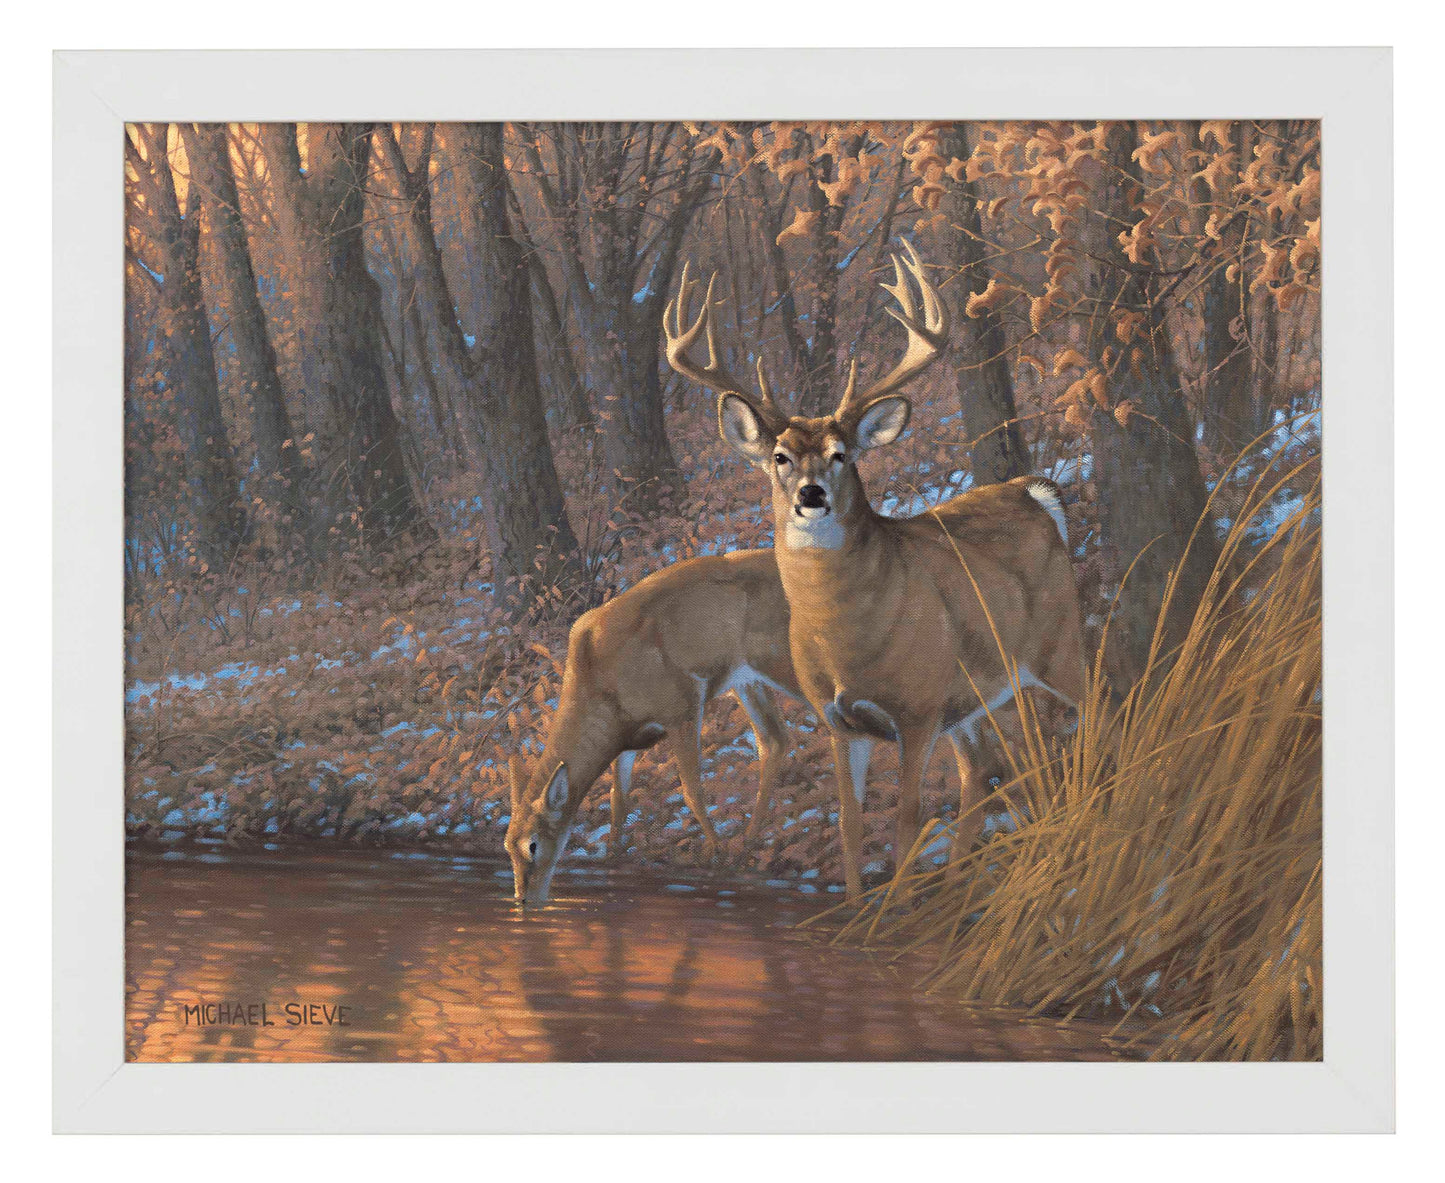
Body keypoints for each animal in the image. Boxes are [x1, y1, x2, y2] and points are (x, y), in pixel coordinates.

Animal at [505, 548, 878, 907]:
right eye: (507, 846)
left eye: (533, 845)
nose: (523, 898)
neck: (600, 685)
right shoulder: (626, 743)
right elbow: (618, 800)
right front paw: (613, 855)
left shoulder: (682, 704)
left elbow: (692, 789)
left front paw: (717, 852)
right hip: (747, 680)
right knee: (774, 739)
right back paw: (748, 842)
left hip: (787, 663)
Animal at [664, 244, 1088, 899]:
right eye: (779, 456)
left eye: (842, 454)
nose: (811, 494)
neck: (848, 638)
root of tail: (1032, 491)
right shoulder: (841, 720)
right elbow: (850, 825)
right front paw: (860, 910)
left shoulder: (916, 710)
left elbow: (907, 823)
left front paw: (894, 909)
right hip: (971, 692)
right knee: (985, 767)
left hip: (1056, 644)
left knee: (1102, 711)